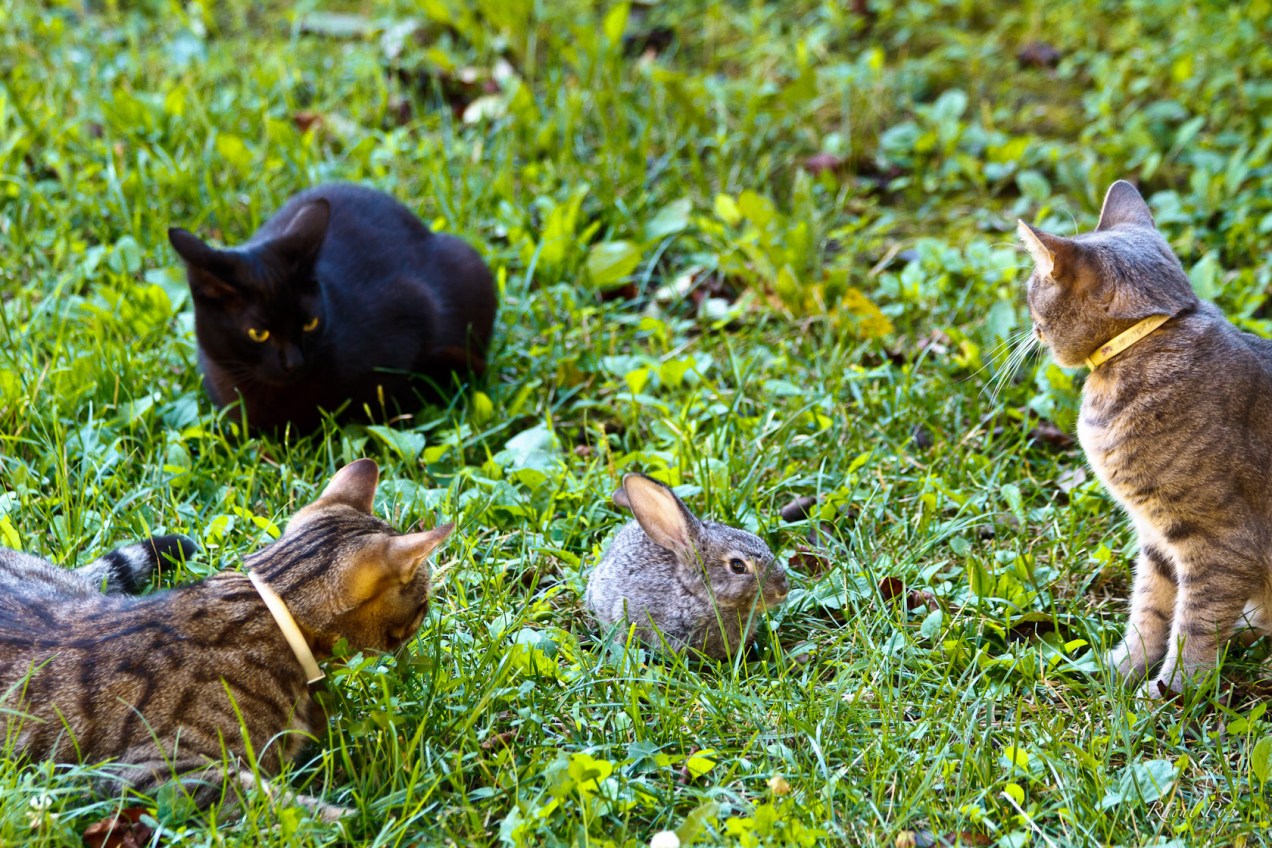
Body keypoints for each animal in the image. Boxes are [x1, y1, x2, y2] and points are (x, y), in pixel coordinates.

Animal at [0, 460, 452, 819]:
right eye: (424, 605)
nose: (423, 622)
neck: (269, 614)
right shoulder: (154, 772)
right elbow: (276, 803)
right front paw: (362, 820)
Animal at [1019, 179, 1272, 696]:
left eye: (1032, 291)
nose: (1028, 327)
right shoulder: (1156, 538)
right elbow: (1149, 612)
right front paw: (1120, 670)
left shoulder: (1221, 546)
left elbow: (1193, 626)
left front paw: (1170, 695)